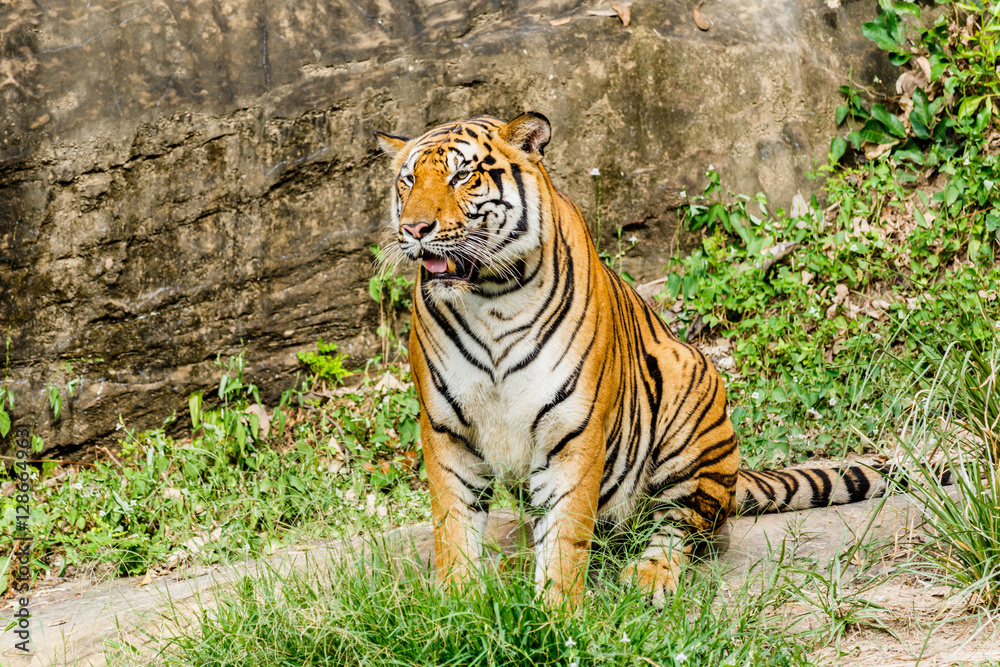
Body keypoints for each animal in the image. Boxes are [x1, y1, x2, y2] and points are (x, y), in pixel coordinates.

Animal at [374, 112, 906, 607]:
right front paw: (459, 608)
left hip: (691, 390)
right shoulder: (446, 429)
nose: (413, 228)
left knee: (682, 526)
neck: (491, 300)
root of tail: (735, 477)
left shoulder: (573, 430)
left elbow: (565, 538)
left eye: (462, 175)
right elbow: (454, 529)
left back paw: (649, 578)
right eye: (408, 180)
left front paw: (554, 617)